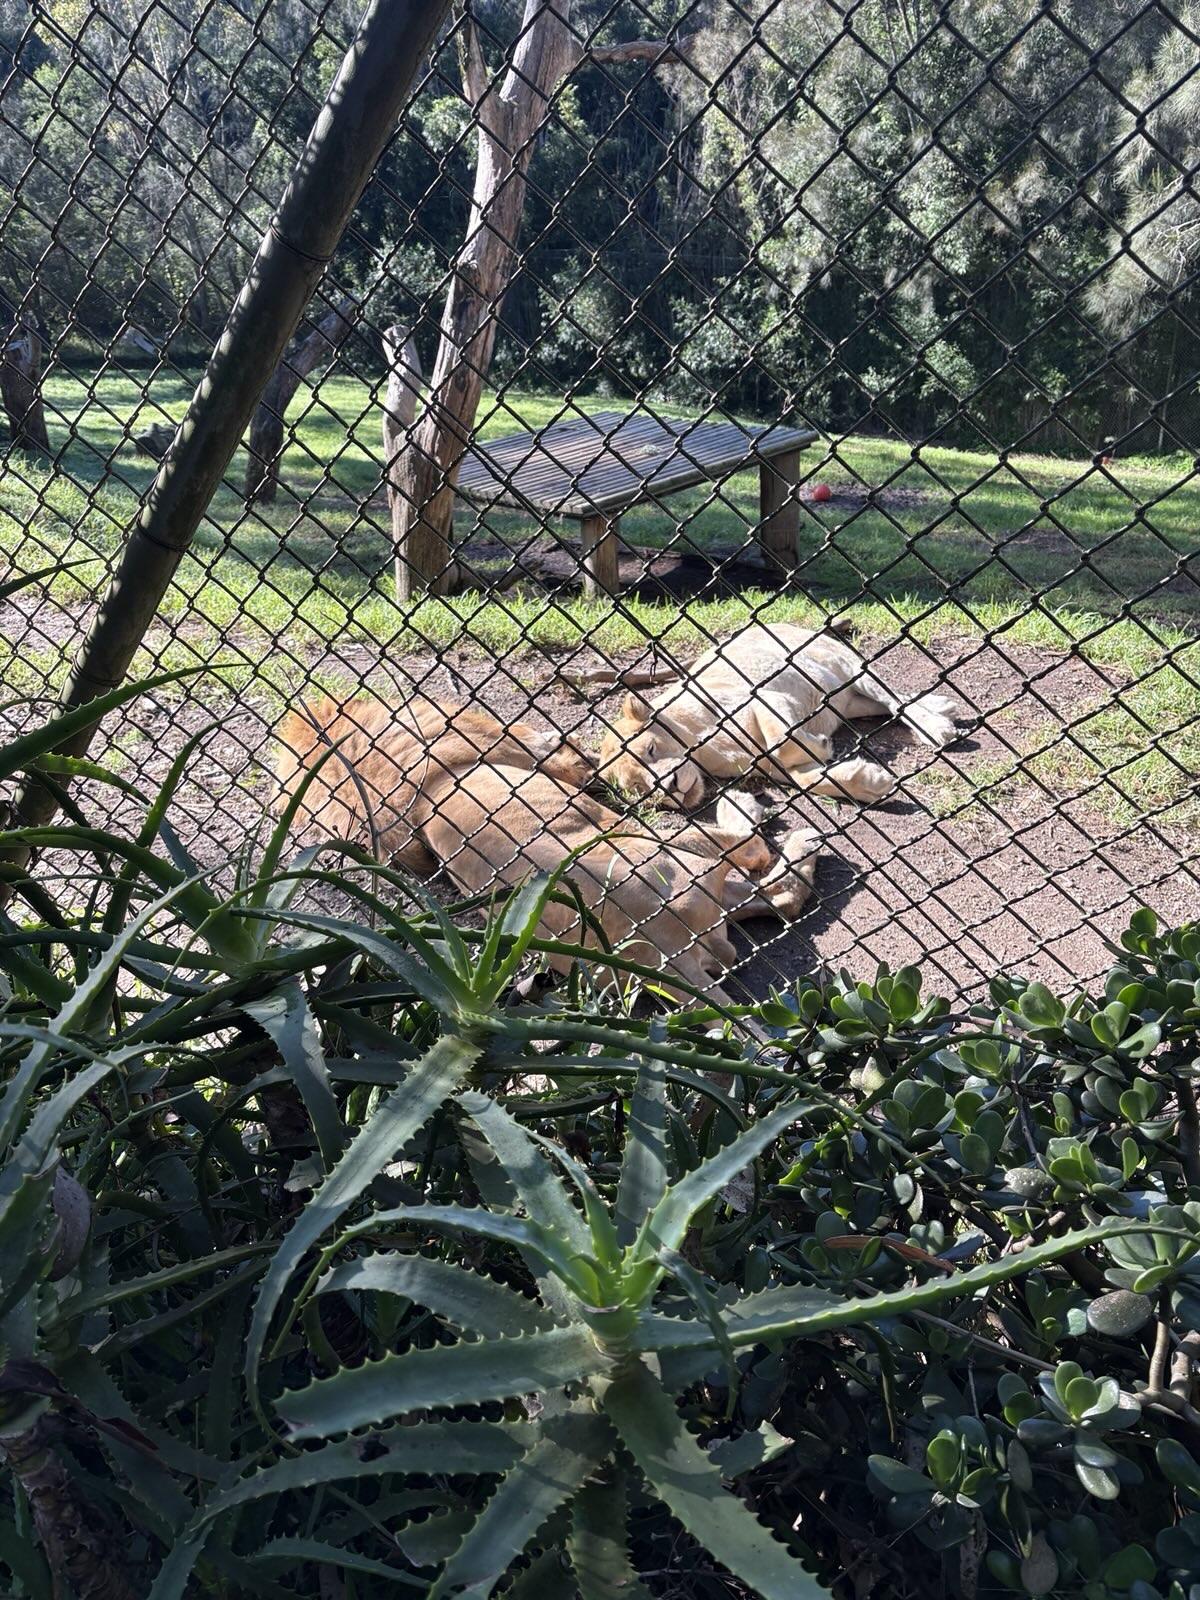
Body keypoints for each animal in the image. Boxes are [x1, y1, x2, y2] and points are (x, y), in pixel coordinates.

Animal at [597, 619, 964, 809]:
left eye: (651, 750)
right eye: (637, 788)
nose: (670, 788)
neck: (702, 750)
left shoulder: (765, 698)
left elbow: (782, 743)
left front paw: (821, 745)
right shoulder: (769, 767)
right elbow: (805, 779)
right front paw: (871, 783)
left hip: (849, 666)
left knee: (894, 699)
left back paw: (936, 726)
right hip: (847, 700)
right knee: (887, 704)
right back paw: (942, 706)